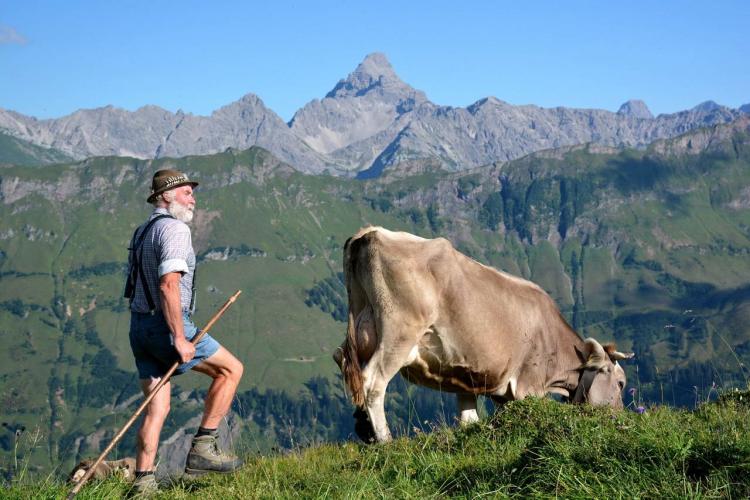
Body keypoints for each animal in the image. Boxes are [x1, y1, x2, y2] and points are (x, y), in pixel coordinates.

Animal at [334, 227, 636, 442]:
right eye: (621, 383)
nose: (621, 418)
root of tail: (370, 233)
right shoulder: (529, 385)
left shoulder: (469, 381)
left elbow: (469, 419)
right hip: (399, 333)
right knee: (373, 382)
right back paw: (384, 439)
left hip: (362, 327)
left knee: (343, 361)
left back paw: (363, 426)